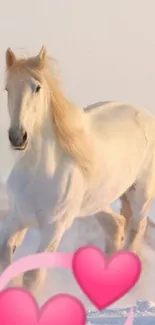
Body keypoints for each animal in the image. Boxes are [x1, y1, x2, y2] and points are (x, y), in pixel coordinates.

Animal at [1, 45, 155, 292]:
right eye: (7, 88)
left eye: (37, 88)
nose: (17, 137)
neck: (39, 172)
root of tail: (143, 113)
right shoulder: (17, 219)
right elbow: (7, 260)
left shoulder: (53, 229)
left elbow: (33, 276)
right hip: (97, 202)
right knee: (115, 226)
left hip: (141, 194)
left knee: (134, 230)